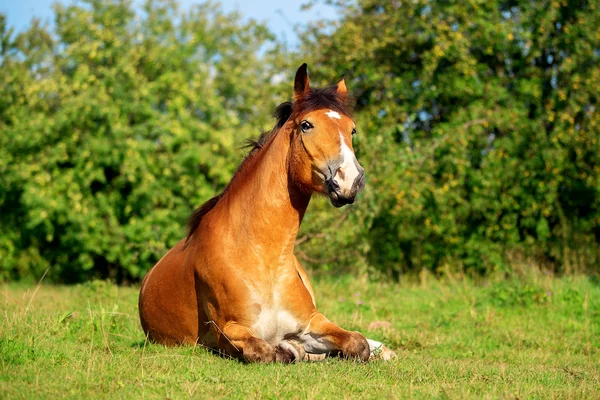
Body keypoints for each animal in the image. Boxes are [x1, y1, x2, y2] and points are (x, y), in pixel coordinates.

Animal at [138, 63, 396, 362]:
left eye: (352, 130)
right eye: (306, 125)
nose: (351, 180)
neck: (263, 258)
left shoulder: (312, 321)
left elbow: (357, 342)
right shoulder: (227, 332)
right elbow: (264, 351)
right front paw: (291, 349)